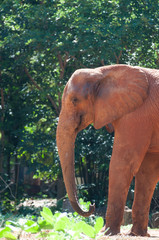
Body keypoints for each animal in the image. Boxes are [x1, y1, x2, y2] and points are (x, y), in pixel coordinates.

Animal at [56, 63, 159, 236]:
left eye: (75, 100)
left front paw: (106, 232)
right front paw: (137, 234)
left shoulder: (138, 114)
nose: (91, 206)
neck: (102, 72)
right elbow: (148, 172)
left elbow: (122, 164)